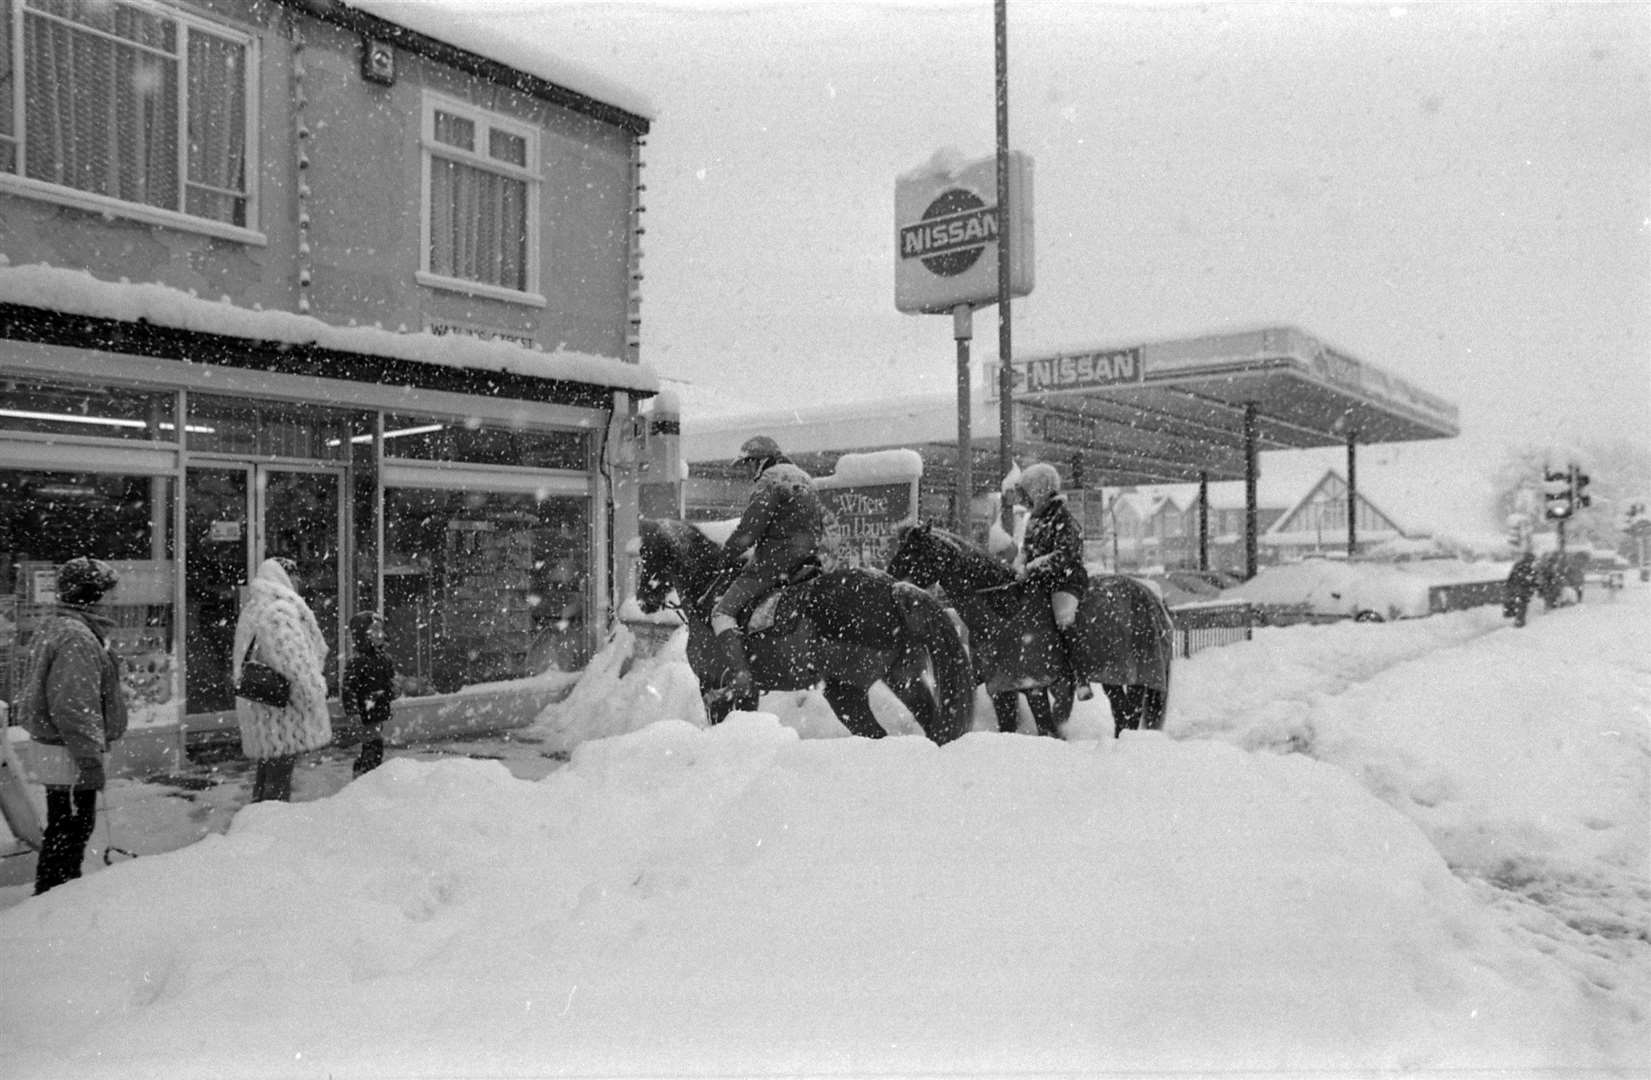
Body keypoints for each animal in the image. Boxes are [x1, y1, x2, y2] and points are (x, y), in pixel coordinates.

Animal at [891, 521, 1175, 739]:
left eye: (913, 552)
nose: (890, 580)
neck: (1004, 612)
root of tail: (1150, 595)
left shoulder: (1034, 685)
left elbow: (1046, 729)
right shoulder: (1001, 688)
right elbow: (1009, 728)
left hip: (1137, 674)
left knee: (1128, 714)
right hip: (1113, 677)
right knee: (1122, 713)